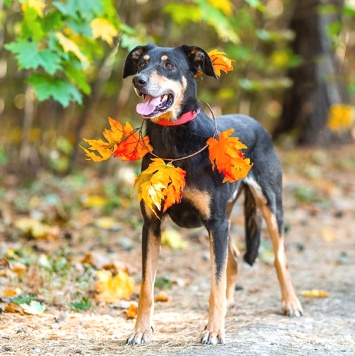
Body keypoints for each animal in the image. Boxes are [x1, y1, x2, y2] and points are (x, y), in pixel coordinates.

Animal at [123, 44, 304, 344]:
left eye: (169, 65)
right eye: (141, 64)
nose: (139, 81)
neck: (173, 143)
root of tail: (255, 121)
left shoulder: (216, 224)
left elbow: (215, 284)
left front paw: (214, 330)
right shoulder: (152, 224)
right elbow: (146, 287)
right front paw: (140, 330)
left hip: (268, 204)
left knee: (281, 258)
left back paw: (290, 303)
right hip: (226, 217)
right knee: (233, 257)